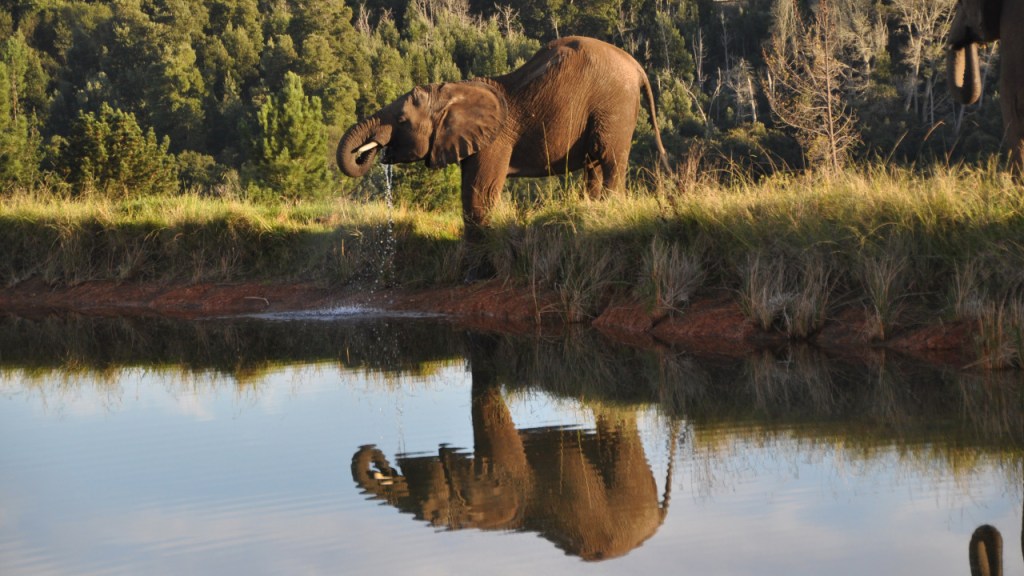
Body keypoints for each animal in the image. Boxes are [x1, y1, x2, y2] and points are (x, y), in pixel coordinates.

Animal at [337, 36, 669, 279]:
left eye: (403, 121)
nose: (372, 150)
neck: (453, 91)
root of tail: (637, 67)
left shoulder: (494, 141)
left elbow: (478, 194)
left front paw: (475, 272)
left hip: (614, 106)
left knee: (611, 160)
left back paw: (608, 208)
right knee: (595, 164)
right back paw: (593, 207)